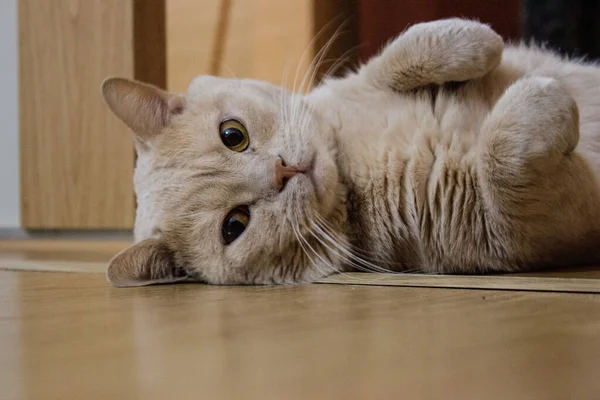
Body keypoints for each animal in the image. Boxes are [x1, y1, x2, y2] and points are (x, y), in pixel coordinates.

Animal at [101, 19, 600, 288]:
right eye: (234, 225)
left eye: (233, 134)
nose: (283, 171)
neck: (349, 171)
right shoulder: (515, 230)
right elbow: (505, 155)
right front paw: (542, 95)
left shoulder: (369, 78)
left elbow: (400, 54)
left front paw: (478, 40)